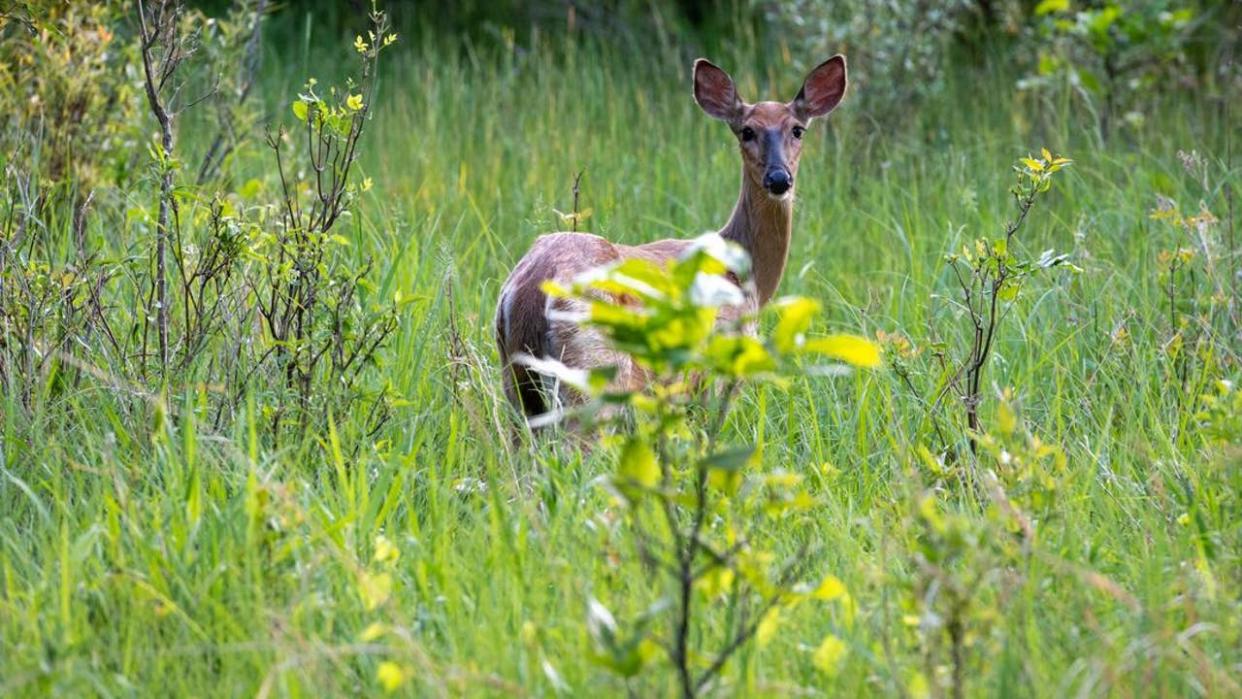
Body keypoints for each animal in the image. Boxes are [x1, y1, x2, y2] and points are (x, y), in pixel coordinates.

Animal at [494, 53, 844, 422]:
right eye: (747, 131)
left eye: (798, 129)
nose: (779, 178)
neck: (745, 275)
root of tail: (529, 289)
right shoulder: (718, 366)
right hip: (593, 368)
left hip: (516, 381)